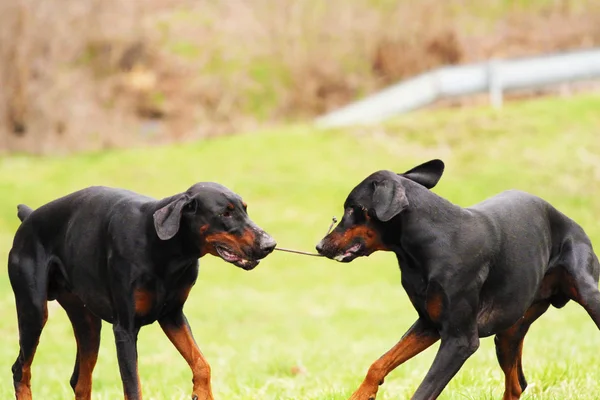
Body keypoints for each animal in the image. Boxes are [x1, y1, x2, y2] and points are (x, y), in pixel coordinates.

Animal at [8, 183, 276, 398]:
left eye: (245, 209)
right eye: (225, 213)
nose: (270, 244)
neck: (164, 250)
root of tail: (29, 217)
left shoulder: (173, 316)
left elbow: (202, 364)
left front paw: (201, 394)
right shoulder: (125, 329)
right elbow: (133, 387)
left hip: (88, 323)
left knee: (80, 381)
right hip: (34, 311)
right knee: (20, 370)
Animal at [316, 159, 600, 400]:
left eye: (352, 208)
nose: (320, 245)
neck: (429, 246)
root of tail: (567, 219)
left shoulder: (459, 340)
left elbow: (423, 390)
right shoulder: (429, 323)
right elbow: (379, 363)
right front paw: (361, 394)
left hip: (589, 293)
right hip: (509, 331)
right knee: (516, 384)